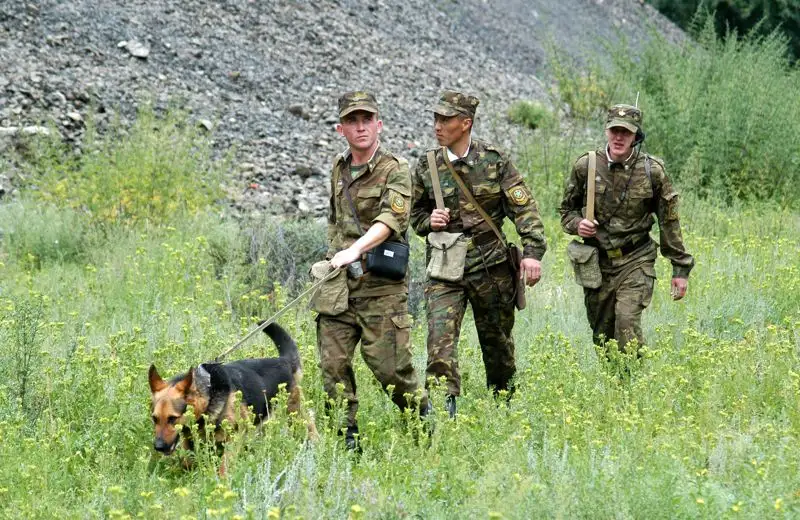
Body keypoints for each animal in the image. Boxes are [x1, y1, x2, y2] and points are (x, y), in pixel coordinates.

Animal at [148, 320, 318, 464]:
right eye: (155, 419)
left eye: (172, 418)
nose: (158, 447)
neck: (209, 393)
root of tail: (284, 360)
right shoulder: (189, 441)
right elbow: (187, 462)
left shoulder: (234, 439)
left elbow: (224, 466)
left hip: (296, 415)